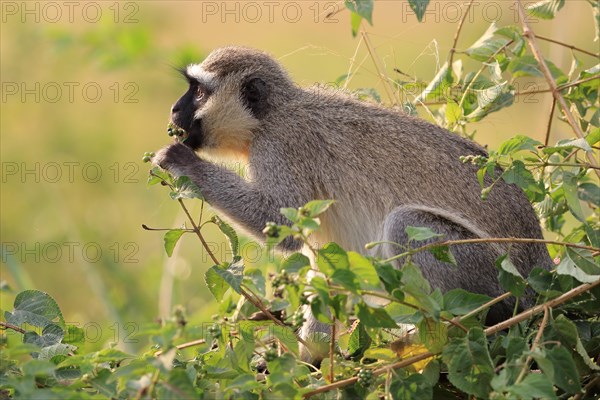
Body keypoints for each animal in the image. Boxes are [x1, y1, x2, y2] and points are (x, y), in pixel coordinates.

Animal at [155, 47, 552, 360]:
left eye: (199, 92)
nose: (173, 110)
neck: (269, 116)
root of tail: (541, 270)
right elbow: (330, 271)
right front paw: (311, 364)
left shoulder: (281, 145)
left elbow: (282, 226)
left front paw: (183, 162)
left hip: (495, 279)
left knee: (406, 223)